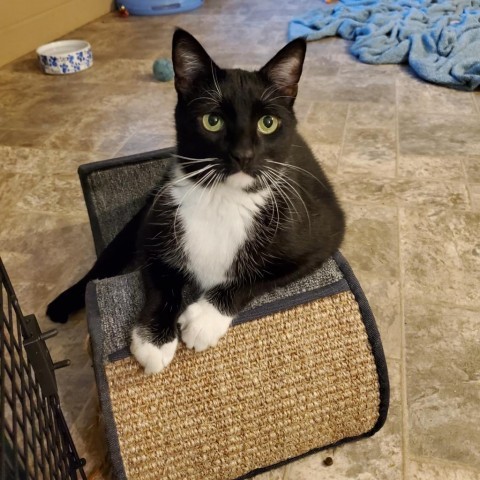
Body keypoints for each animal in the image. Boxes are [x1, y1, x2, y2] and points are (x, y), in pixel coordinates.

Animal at [47, 29, 344, 376]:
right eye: (212, 121)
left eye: (267, 123)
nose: (243, 154)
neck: (223, 199)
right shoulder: (158, 223)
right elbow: (161, 277)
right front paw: (154, 340)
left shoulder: (321, 234)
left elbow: (258, 277)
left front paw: (204, 320)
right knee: (104, 263)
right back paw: (63, 302)